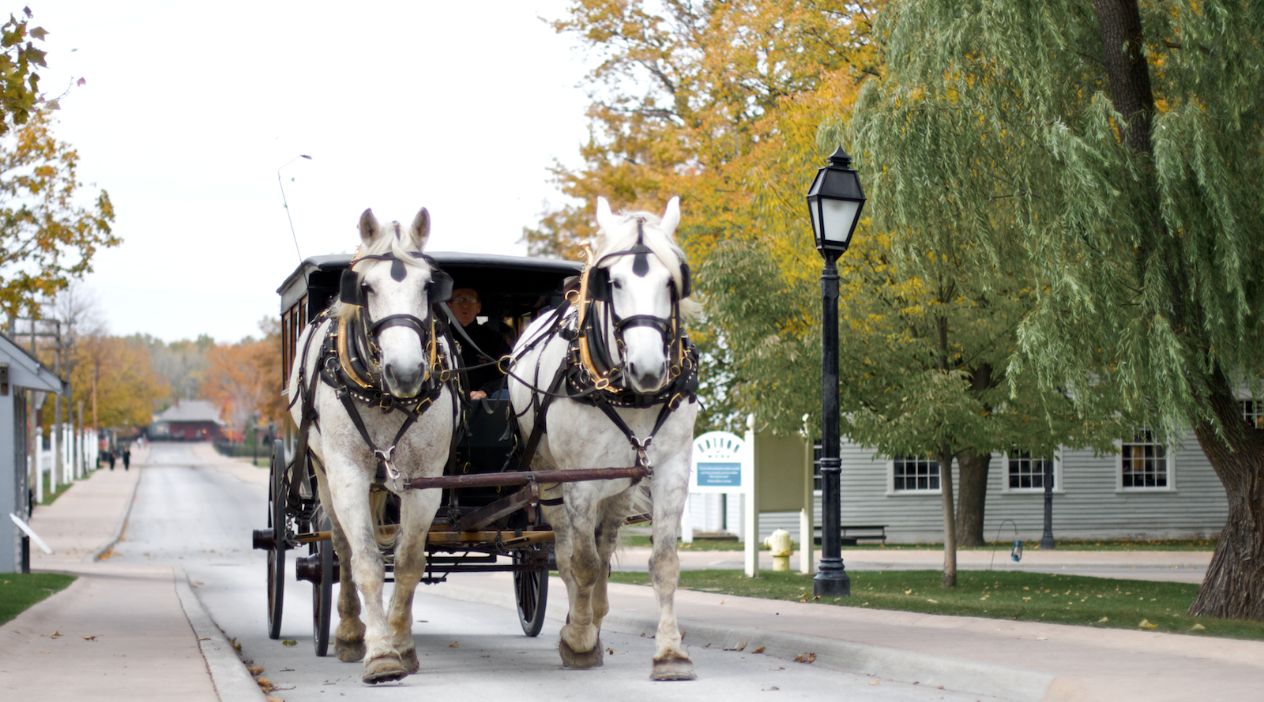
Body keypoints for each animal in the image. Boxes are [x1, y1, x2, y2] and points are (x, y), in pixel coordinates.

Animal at [288, 207, 458, 684]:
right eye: (366, 288)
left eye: (427, 285)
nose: (407, 371)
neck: (384, 395)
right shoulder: (347, 473)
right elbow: (365, 560)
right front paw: (380, 652)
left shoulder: (425, 479)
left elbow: (408, 562)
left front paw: (402, 644)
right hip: (323, 469)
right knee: (342, 547)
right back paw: (348, 633)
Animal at [508, 196, 700, 680]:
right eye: (612, 282)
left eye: (672, 281)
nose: (648, 369)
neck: (631, 395)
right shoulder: (578, 479)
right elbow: (582, 562)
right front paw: (577, 641)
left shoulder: (671, 468)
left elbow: (663, 563)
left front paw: (670, 653)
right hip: (548, 475)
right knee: (565, 549)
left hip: (621, 481)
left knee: (606, 537)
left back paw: (596, 612)